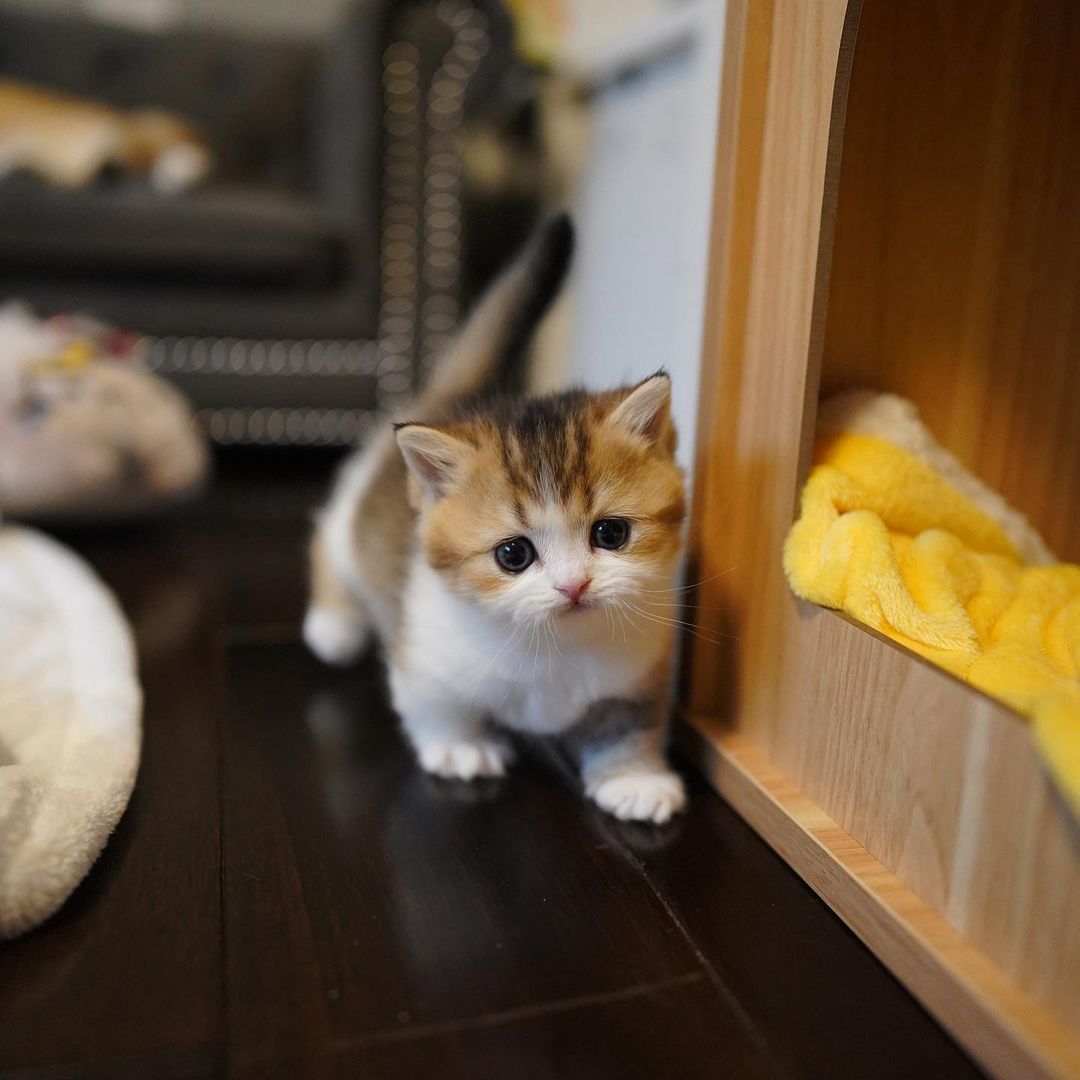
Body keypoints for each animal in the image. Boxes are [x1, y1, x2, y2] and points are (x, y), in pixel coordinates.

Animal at [305, 215, 687, 823]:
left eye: (611, 533)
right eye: (513, 554)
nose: (574, 586)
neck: (555, 648)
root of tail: (458, 401)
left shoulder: (643, 670)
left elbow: (631, 726)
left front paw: (635, 778)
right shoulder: (425, 656)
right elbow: (435, 705)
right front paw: (461, 748)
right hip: (353, 512)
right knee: (328, 534)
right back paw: (334, 625)